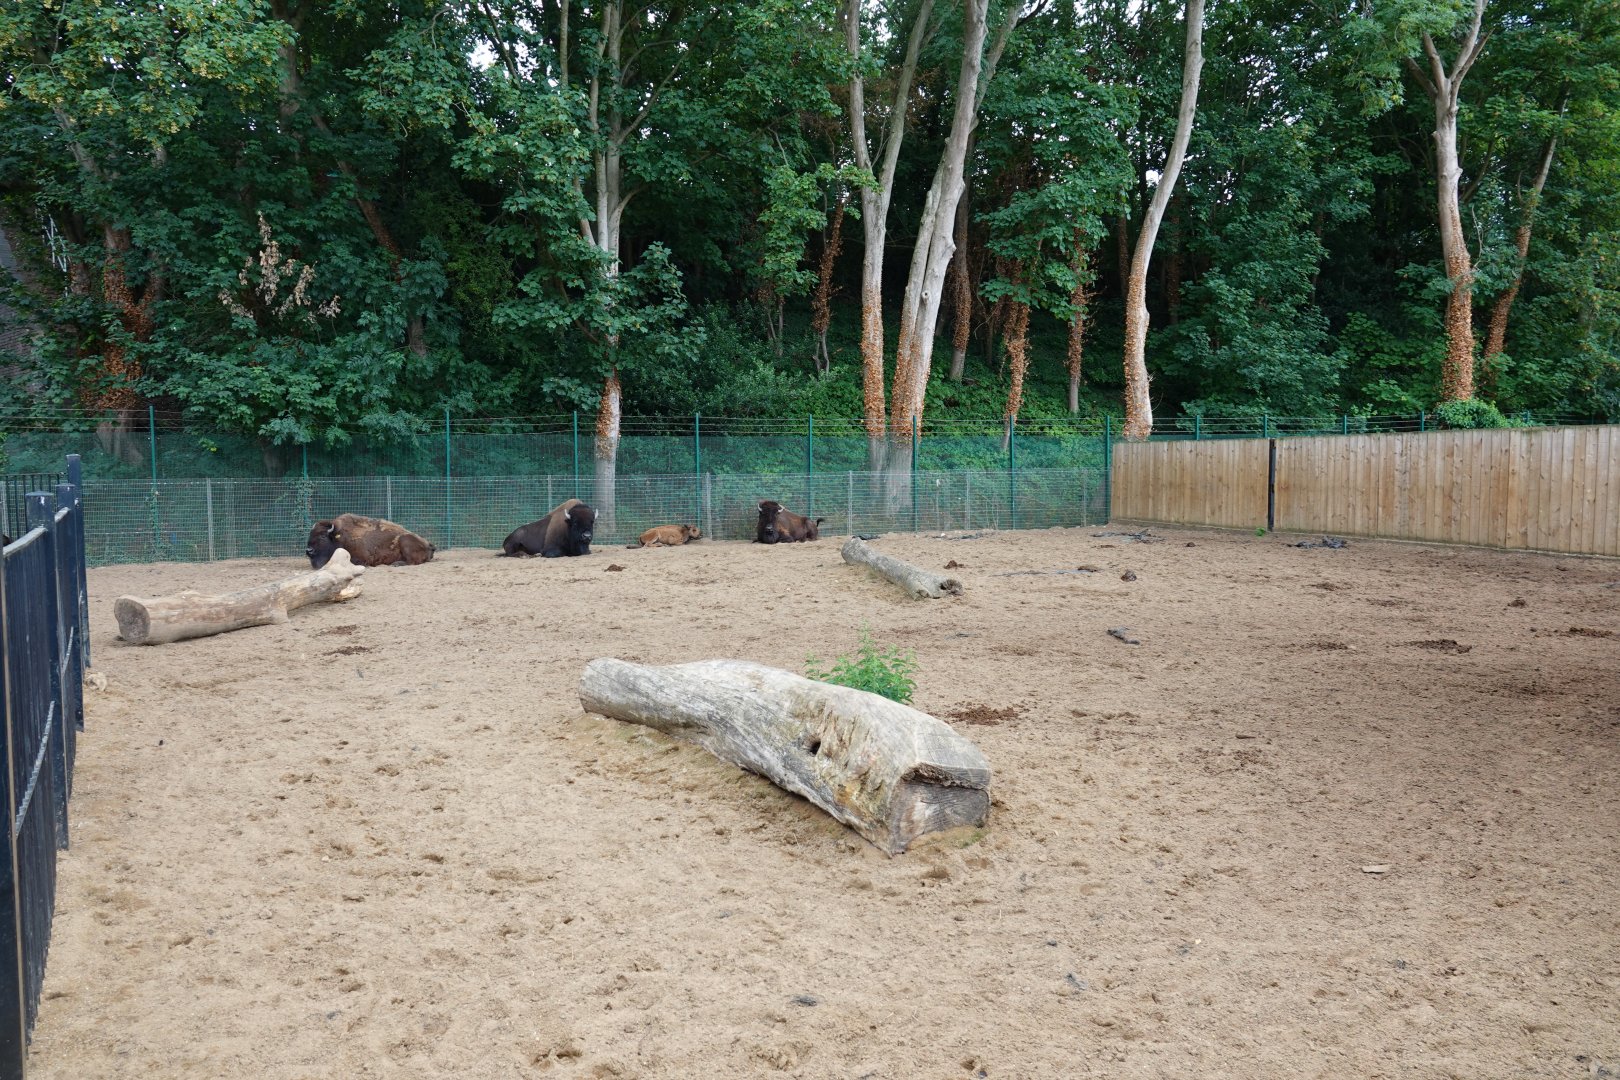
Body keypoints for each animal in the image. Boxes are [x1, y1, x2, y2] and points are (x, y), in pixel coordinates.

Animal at [306, 514, 435, 569]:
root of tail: (428, 544)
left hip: (405, 541)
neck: (339, 536)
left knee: (412, 561)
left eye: (323, 536)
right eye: (310, 534)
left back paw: (397, 564)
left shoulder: (363, 558)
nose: (309, 550)